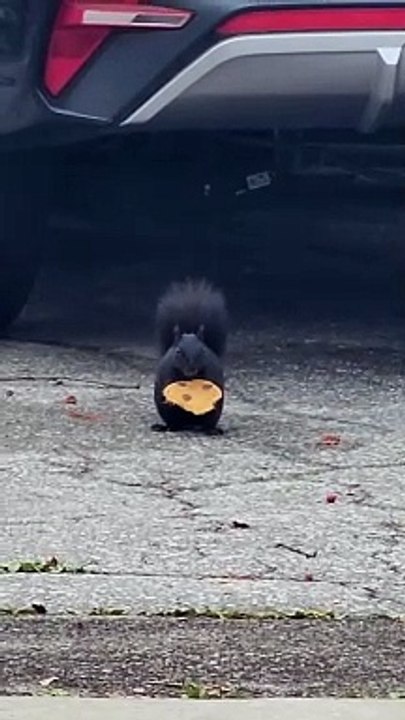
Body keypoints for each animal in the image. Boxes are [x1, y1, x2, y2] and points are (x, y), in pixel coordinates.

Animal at [154, 279, 228, 431]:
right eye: (178, 352)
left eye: (202, 351)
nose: (191, 369)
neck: (189, 378)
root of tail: (190, 424)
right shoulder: (167, 372)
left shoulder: (212, 371)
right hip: (168, 413)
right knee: (173, 423)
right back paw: (166, 427)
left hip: (213, 415)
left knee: (208, 423)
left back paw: (212, 430)